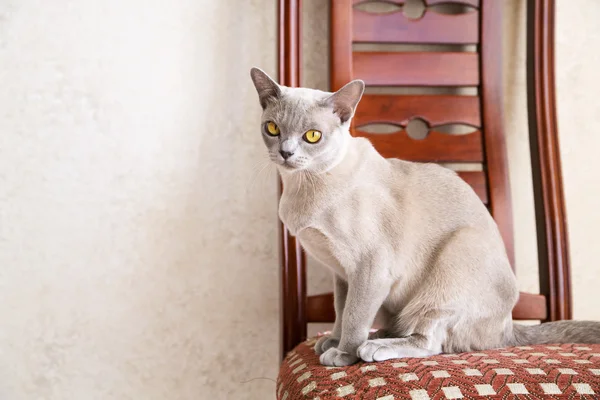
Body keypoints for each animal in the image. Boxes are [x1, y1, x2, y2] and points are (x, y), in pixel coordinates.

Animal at [250, 67, 600, 368]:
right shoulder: (341, 273)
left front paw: (342, 353)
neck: (303, 187)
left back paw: (372, 347)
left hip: (455, 257)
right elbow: (340, 311)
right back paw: (376, 336)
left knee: (429, 340)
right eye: (272, 129)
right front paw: (333, 342)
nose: (286, 153)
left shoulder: (369, 268)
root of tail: (508, 327)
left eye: (312, 136)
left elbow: (354, 316)